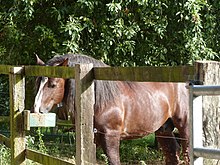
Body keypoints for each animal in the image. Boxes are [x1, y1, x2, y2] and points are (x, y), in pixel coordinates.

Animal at [33, 53, 190, 164]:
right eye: (38, 82)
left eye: (52, 84)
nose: (37, 109)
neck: (99, 101)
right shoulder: (94, 139)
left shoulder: (111, 137)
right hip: (163, 130)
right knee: (173, 154)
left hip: (185, 130)